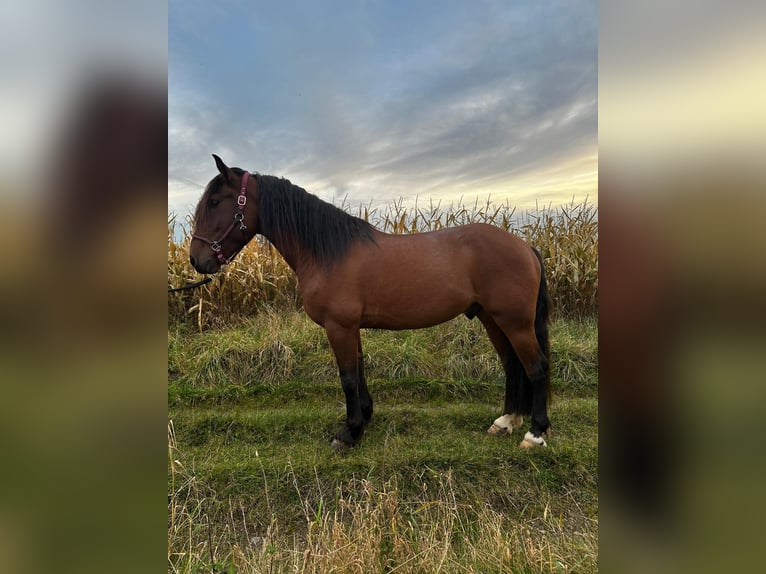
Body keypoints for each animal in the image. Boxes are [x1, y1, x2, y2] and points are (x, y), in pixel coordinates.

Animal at [190, 156, 552, 454]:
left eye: (214, 202)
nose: (197, 260)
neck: (328, 252)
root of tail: (524, 246)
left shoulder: (339, 327)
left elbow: (348, 377)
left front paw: (349, 434)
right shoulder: (350, 327)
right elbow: (359, 371)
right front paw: (364, 417)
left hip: (515, 322)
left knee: (536, 367)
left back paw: (534, 434)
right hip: (493, 319)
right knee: (512, 366)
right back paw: (506, 421)